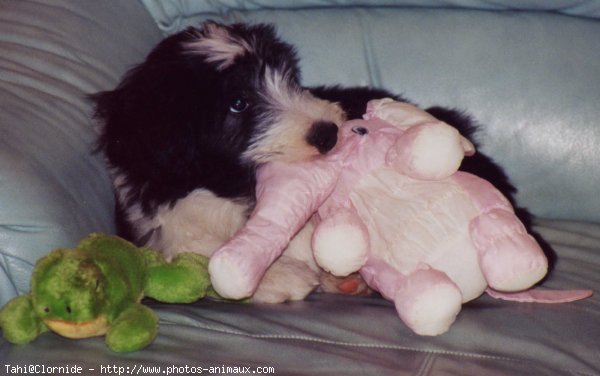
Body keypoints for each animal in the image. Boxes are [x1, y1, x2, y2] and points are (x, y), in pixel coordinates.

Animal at [92, 20, 516, 302]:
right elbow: (195, 252)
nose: (328, 133)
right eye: (238, 103)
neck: (228, 187)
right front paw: (282, 276)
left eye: (288, 79)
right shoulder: (160, 221)